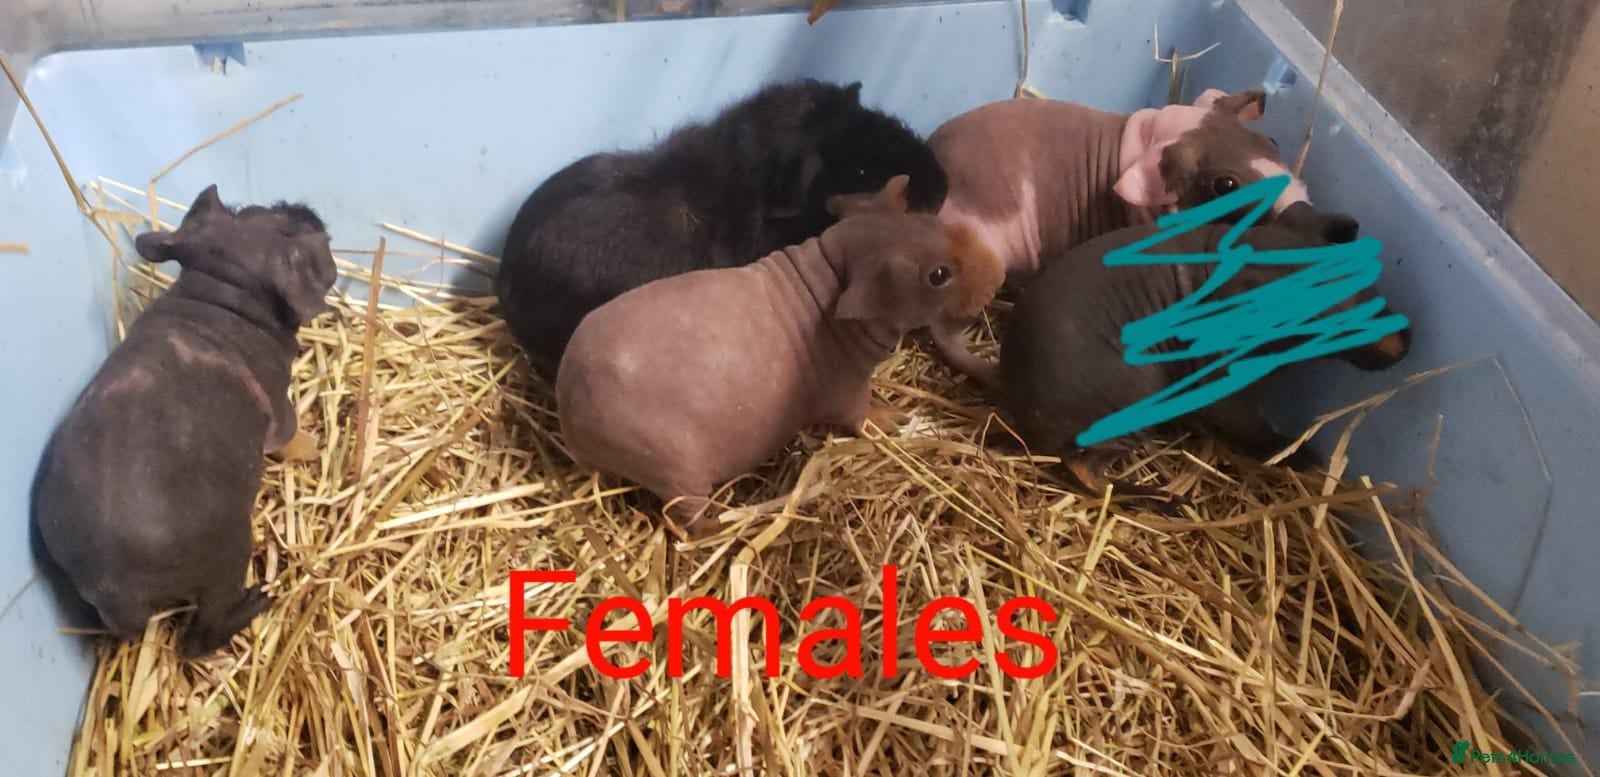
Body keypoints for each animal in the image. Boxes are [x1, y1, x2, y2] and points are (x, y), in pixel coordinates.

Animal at [30, 184, 337, 658]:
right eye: (285, 229)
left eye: (242, 210)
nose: (302, 207)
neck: (220, 296)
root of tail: (112, 584)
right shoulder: (279, 407)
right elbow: (291, 439)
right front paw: (314, 449)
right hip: (231, 554)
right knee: (197, 638)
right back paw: (256, 601)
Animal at [555, 175, 1003, 536]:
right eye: (938, 276)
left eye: (931, 221)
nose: (998, 275)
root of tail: (570, 410)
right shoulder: (848, 392)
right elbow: (864, 415)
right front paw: (897, 419)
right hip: (679, 475)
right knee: (688, 521)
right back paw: (734, 522)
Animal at [994, 201, 1411, 504]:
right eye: (1331, 321)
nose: (1406, 342)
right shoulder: (1228, 393)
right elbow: (1257, 433)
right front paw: (1303, 457)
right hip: (1136, 402)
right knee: (1087, 473)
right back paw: (1167, 501)